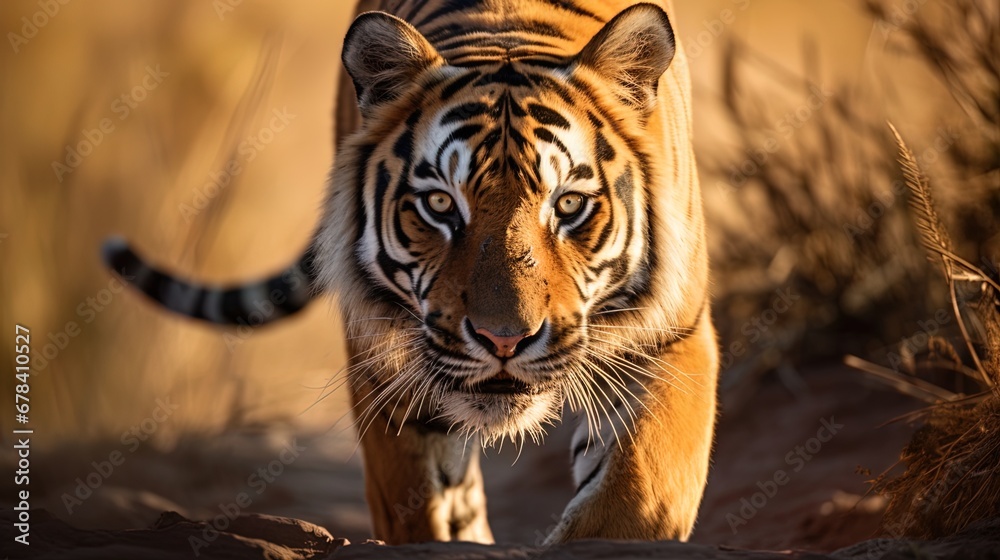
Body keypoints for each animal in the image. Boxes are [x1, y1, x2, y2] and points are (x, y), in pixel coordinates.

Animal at [102, 0, 718, 545]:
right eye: (440, 205)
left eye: (568, 205)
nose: (504, 340)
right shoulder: (382, 364)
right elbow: (418, 503)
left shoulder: (674, 336)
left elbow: (637, 494)